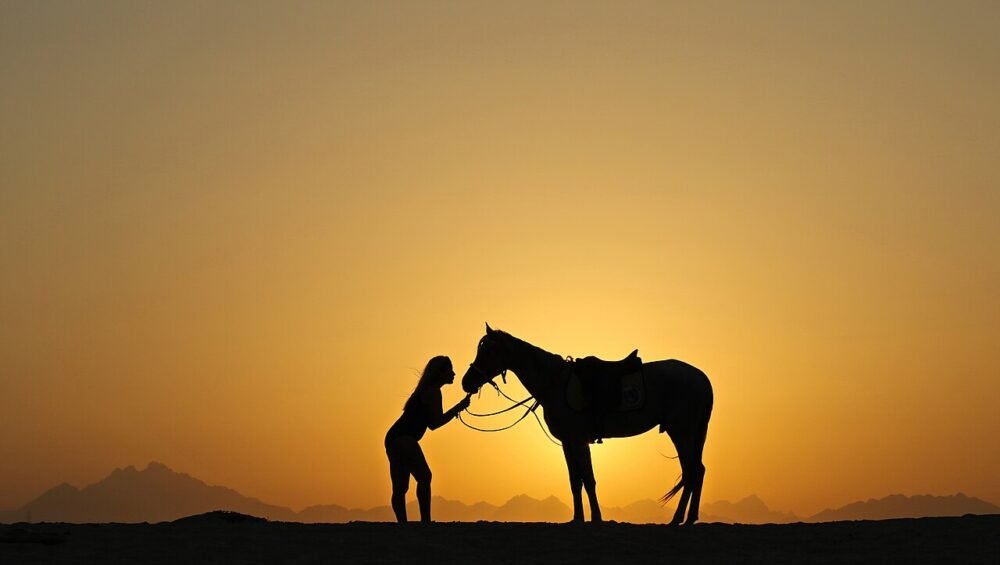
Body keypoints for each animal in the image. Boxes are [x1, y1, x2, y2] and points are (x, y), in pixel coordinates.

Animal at [461, 324, 714, 525]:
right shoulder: (568, 442)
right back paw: (688, 518)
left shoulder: (578, 440)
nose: (466, 382)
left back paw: (679, 519)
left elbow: (588, 480)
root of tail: (701, 378)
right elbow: (576, 481)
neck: (556, 383)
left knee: (692, 471)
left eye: (487, 351)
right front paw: (578, 519)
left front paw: (596, 518)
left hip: (682, 432)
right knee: (696, 471)